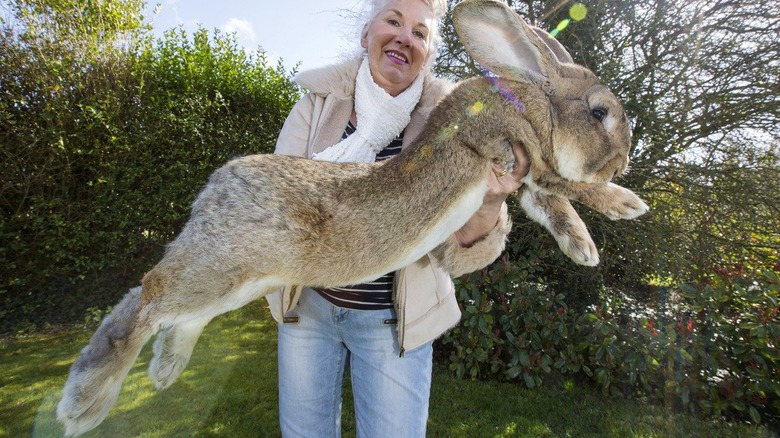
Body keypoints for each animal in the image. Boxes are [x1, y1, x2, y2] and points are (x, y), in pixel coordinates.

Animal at [58, 0, 648, 434]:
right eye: (599, 112)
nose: (623, 159)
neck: (530, 99)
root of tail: (213, 192)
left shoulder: (522, 178)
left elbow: (551, 205)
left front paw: (583, 249)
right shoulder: (514, 151)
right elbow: (566, 184)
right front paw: (625, 203)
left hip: (240, 280)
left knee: (164, 307)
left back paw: (159, 370)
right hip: (224, 265)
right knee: (151, 293)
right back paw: (86, 402)